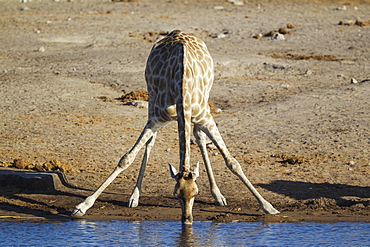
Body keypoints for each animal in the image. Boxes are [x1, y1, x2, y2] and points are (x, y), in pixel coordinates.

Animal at [71, 29, 278, 224]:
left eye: (195, 193)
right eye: (175, 194)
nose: (187, 219)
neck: (183, 90)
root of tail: (177, 32)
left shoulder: (206, 118)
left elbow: (232, 162)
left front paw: (268, 206)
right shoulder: (156, 119)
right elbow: (126, 158)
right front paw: (82, 206)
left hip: (204, 102)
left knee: (199, 138)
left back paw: (218, 195)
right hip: (152, 99)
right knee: (151, 142)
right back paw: (134, 196)